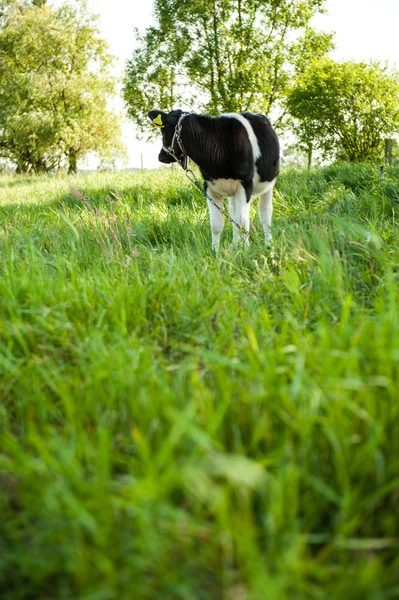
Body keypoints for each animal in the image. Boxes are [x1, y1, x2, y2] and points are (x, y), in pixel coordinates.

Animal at [148, 110, 282, 251]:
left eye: (164, 131)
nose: (161, 157)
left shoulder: (245, 184)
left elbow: (242, 221)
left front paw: (246, 250)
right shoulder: (209, 187)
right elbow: (216, 225)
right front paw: (215, 252)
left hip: (268, 185)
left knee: (265, 214)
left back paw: (268, 244)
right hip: (232, 192)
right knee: (234, 214)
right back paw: (235, 246)